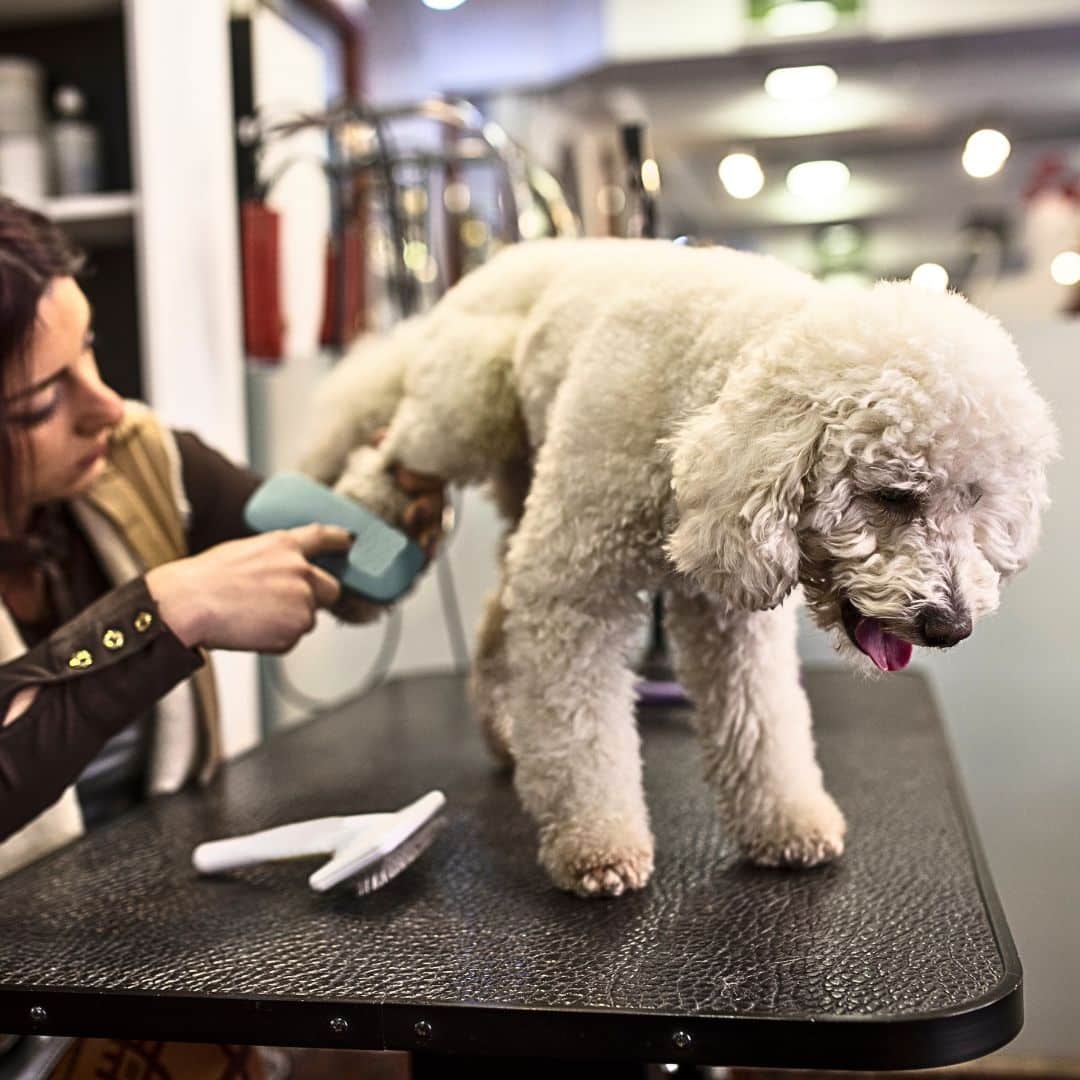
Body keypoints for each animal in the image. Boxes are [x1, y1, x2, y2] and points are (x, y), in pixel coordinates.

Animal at [300, 240, 1058, 898]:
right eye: (894, 495)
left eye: (976, 499)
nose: (949, 626)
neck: (704, 387)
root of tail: (504, 260)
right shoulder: (575, 585)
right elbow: (582, 728)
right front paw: (597, 843)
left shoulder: (731, 616)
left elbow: (763, 721)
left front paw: (786, 822)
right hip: (461, 414)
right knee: (382, 464)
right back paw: (355, 569)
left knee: (497, 612)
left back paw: (507, 733)